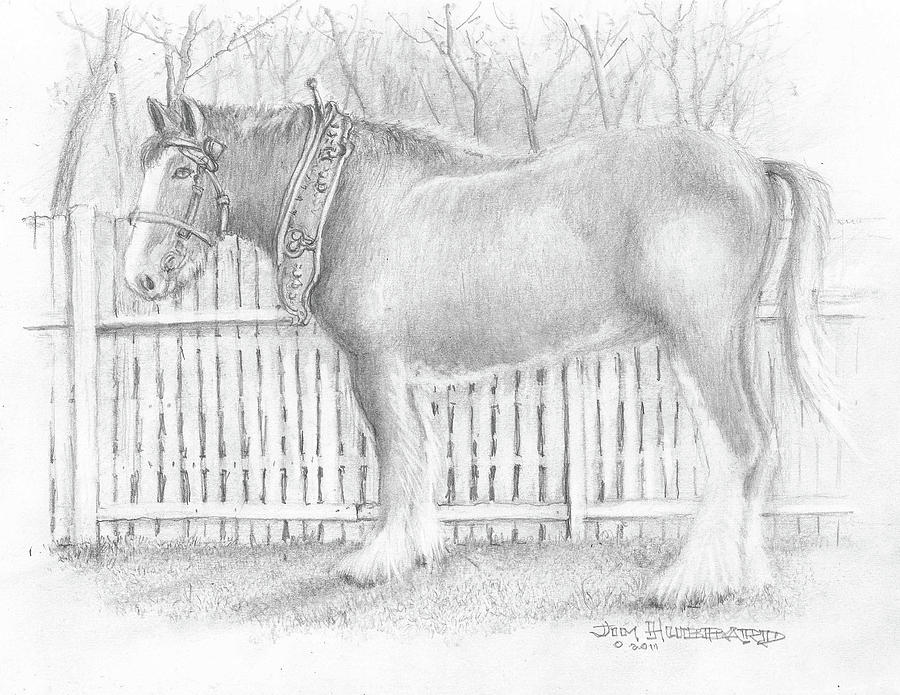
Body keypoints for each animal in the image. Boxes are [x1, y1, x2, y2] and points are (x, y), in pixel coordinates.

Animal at [123, 94, 835, 607]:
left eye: (183, 170)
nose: (141, 279)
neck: (345, 199)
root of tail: (749, 164)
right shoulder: (404, 377)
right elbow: (420, 455)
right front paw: (416, 551)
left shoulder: (374, 367)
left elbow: (398, 459)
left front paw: (378, 561)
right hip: (724, 339)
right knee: (757, 443)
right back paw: (746, 575)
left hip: (699, 339)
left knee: (737, 443)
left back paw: (693, 581)